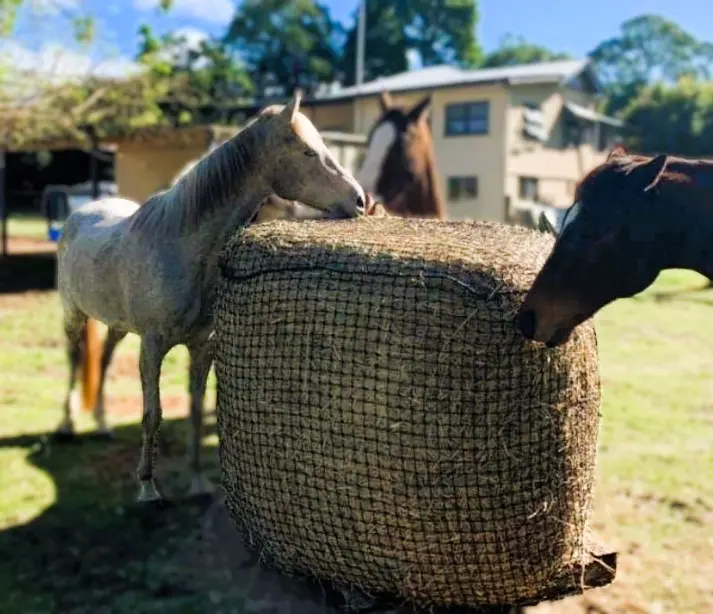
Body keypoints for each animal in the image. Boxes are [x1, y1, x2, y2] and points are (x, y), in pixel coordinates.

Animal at [55, 92, 366, 503]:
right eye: (307, 151)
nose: (360, 200)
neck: (180, 244)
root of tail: (79, 214)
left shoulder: (201, 346)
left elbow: (195, 409)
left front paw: (197, 481)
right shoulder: (153, 345)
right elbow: (152, 414)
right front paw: (148, 487)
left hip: (118, 326)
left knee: (103, 361)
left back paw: (103, 424)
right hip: (73, 317)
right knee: (74, 361)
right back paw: (66, 426)